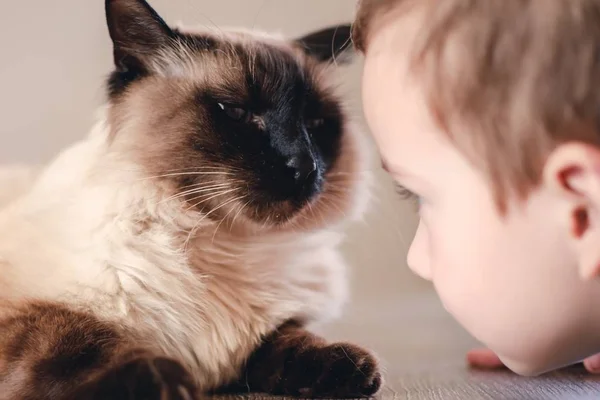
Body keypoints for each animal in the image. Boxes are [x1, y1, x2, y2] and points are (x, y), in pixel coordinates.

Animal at [0, 0, 382, 398]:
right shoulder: (32, 319)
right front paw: (171, 382)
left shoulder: (262, 336)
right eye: (237, 112)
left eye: (315, 124)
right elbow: (92, 345)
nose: (304, 166)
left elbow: (289, 340)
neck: (224, 242)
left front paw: (352, 369)